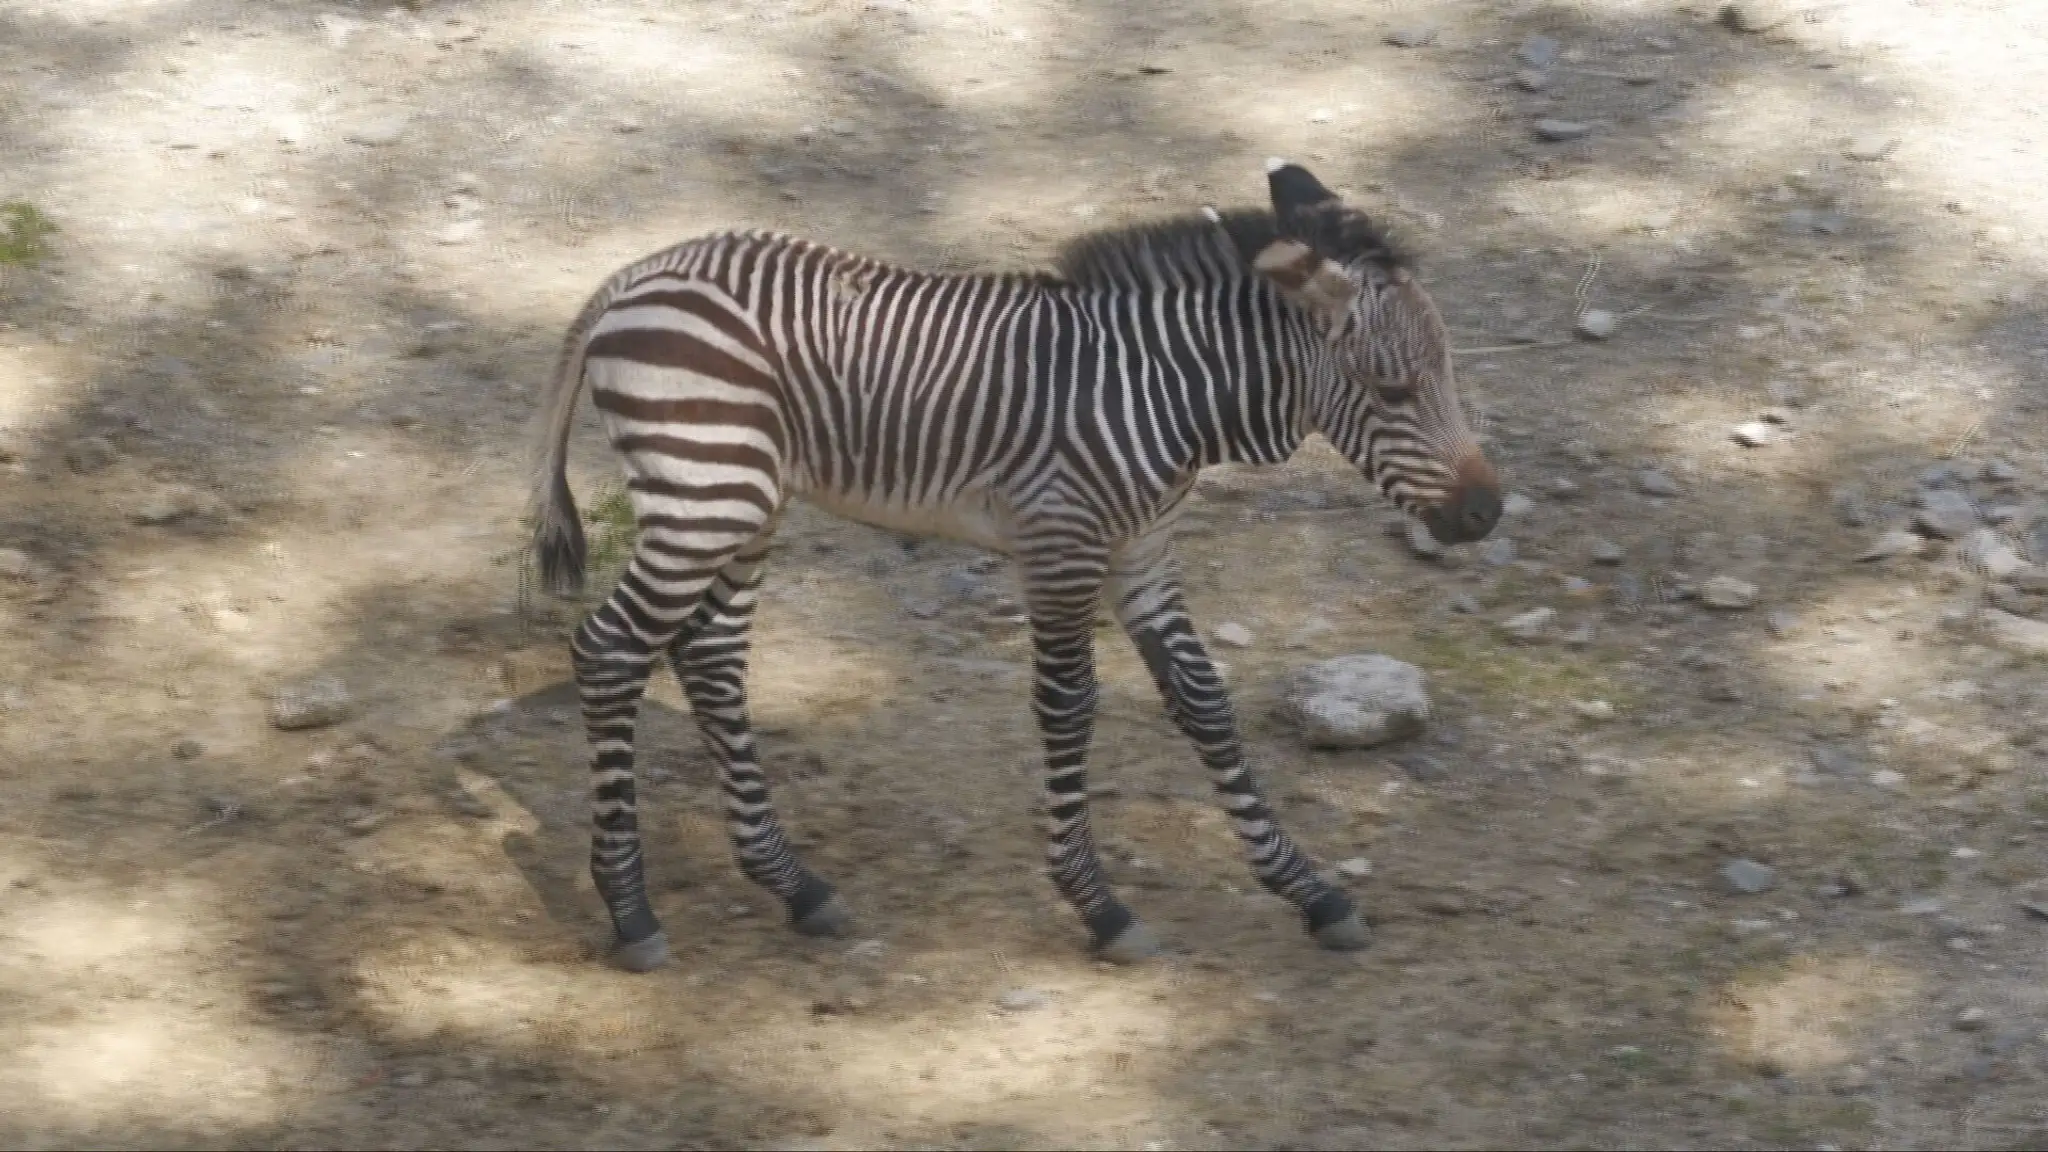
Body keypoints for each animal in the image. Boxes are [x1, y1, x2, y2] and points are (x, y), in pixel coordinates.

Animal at [527, 159, 1502, 972]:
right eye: (1393, 391)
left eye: (1449, 374)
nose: (1486, 514)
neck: (1167, 396)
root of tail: (637, 275)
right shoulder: (1061, 544)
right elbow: (1069, 708)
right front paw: (1100, 906)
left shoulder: (1144, 554)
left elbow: (1205, 704)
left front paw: (1309, 890)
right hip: (705, 493)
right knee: (610, 650)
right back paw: (631, 909)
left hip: (745, 505)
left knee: (708, 657)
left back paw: (794, 885)